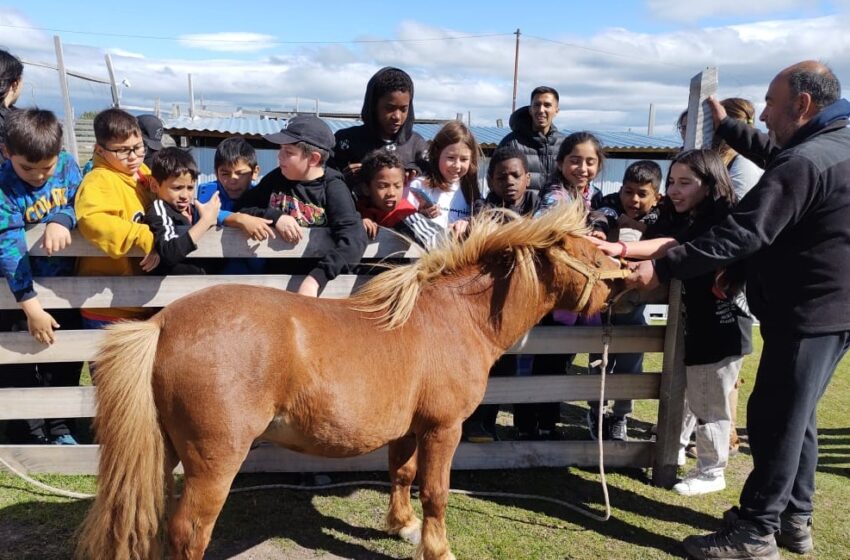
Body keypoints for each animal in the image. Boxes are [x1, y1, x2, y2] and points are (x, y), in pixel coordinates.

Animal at [74, 201, 624, 560]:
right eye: (593, 256)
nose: (617, 285)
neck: (453, 317)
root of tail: (163, 324)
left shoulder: (408, 428)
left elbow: (402, 475)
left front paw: (403, 527)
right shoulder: (443, 429)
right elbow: (436, 491)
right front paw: (437, 548)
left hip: (167, 452)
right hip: (215, 462)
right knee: (189, 532)